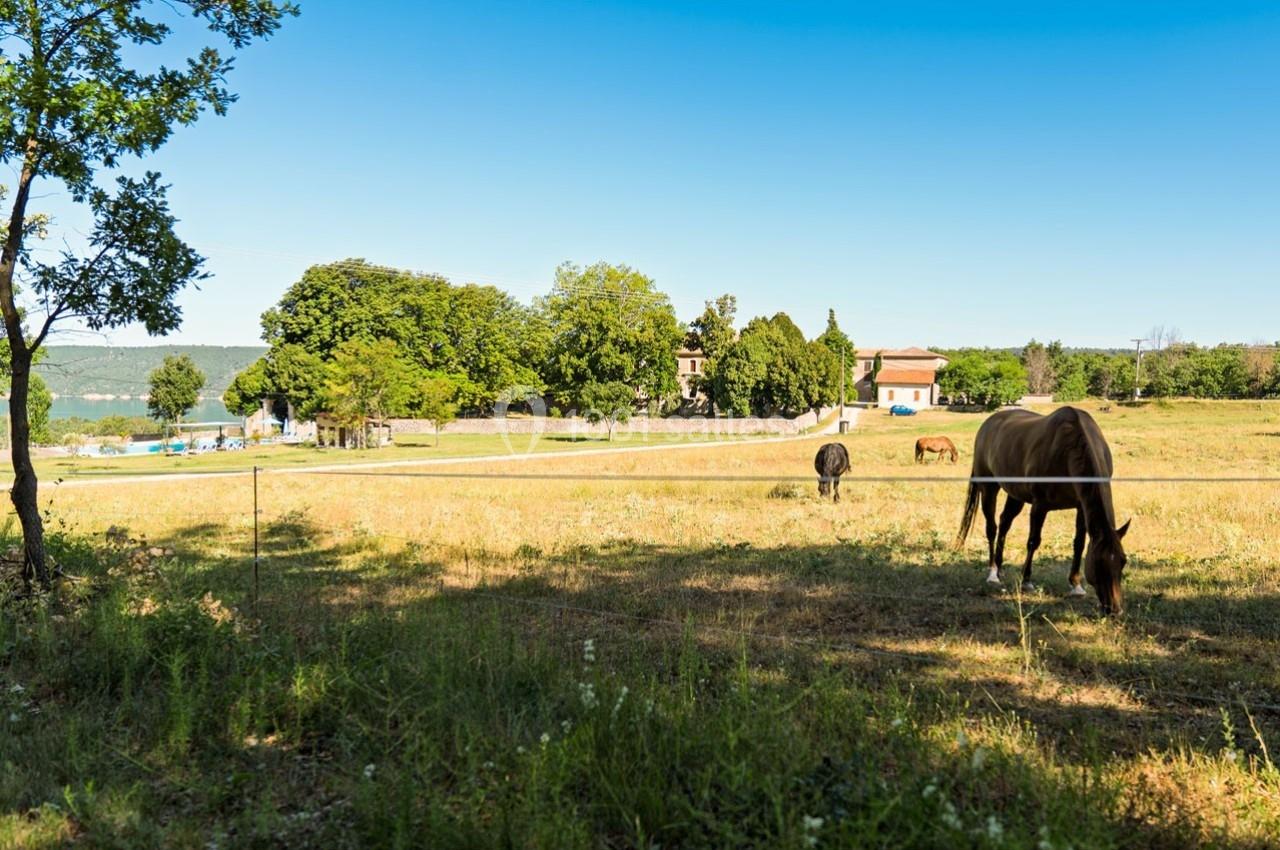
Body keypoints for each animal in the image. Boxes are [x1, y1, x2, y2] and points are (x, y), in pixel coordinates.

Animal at [954, 407, 1131, 614]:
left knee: (1005, 522)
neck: (1068, 449)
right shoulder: (1040, 506)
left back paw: (1000, 567)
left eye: (1123, 561)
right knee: (992, 528)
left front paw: (1076, 585)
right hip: (989, 488)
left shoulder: (1081, 507)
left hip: (1015, 494)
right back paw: (993, 573)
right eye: (1098, 563)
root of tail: (987, 424)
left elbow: (1078, 543)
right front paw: (1026, 581)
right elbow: (1033, 541)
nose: (1115, 609)